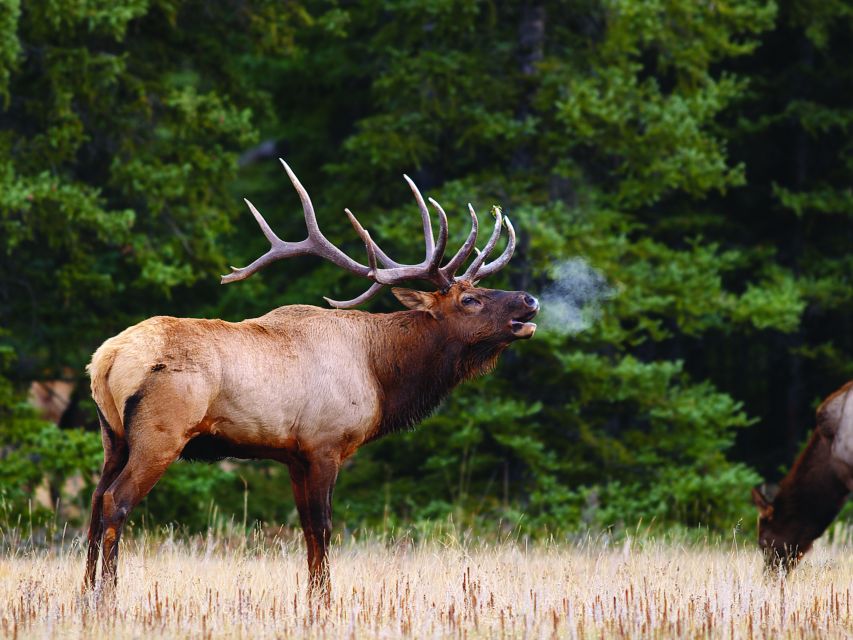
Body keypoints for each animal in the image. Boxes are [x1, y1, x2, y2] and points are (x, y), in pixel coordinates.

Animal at [86, 160, 540, 600]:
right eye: (469, 299)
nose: (530, 299)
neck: (381, 375)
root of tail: (106, 358)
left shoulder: (293, 454)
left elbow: (305, 530)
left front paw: (312, 599)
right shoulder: (326, 443)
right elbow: (323, 528)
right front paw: (324, 602)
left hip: (113, 436)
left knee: (94, 500)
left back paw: (85, 594)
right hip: (160, 433)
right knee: (116, 501)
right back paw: (108, 596)